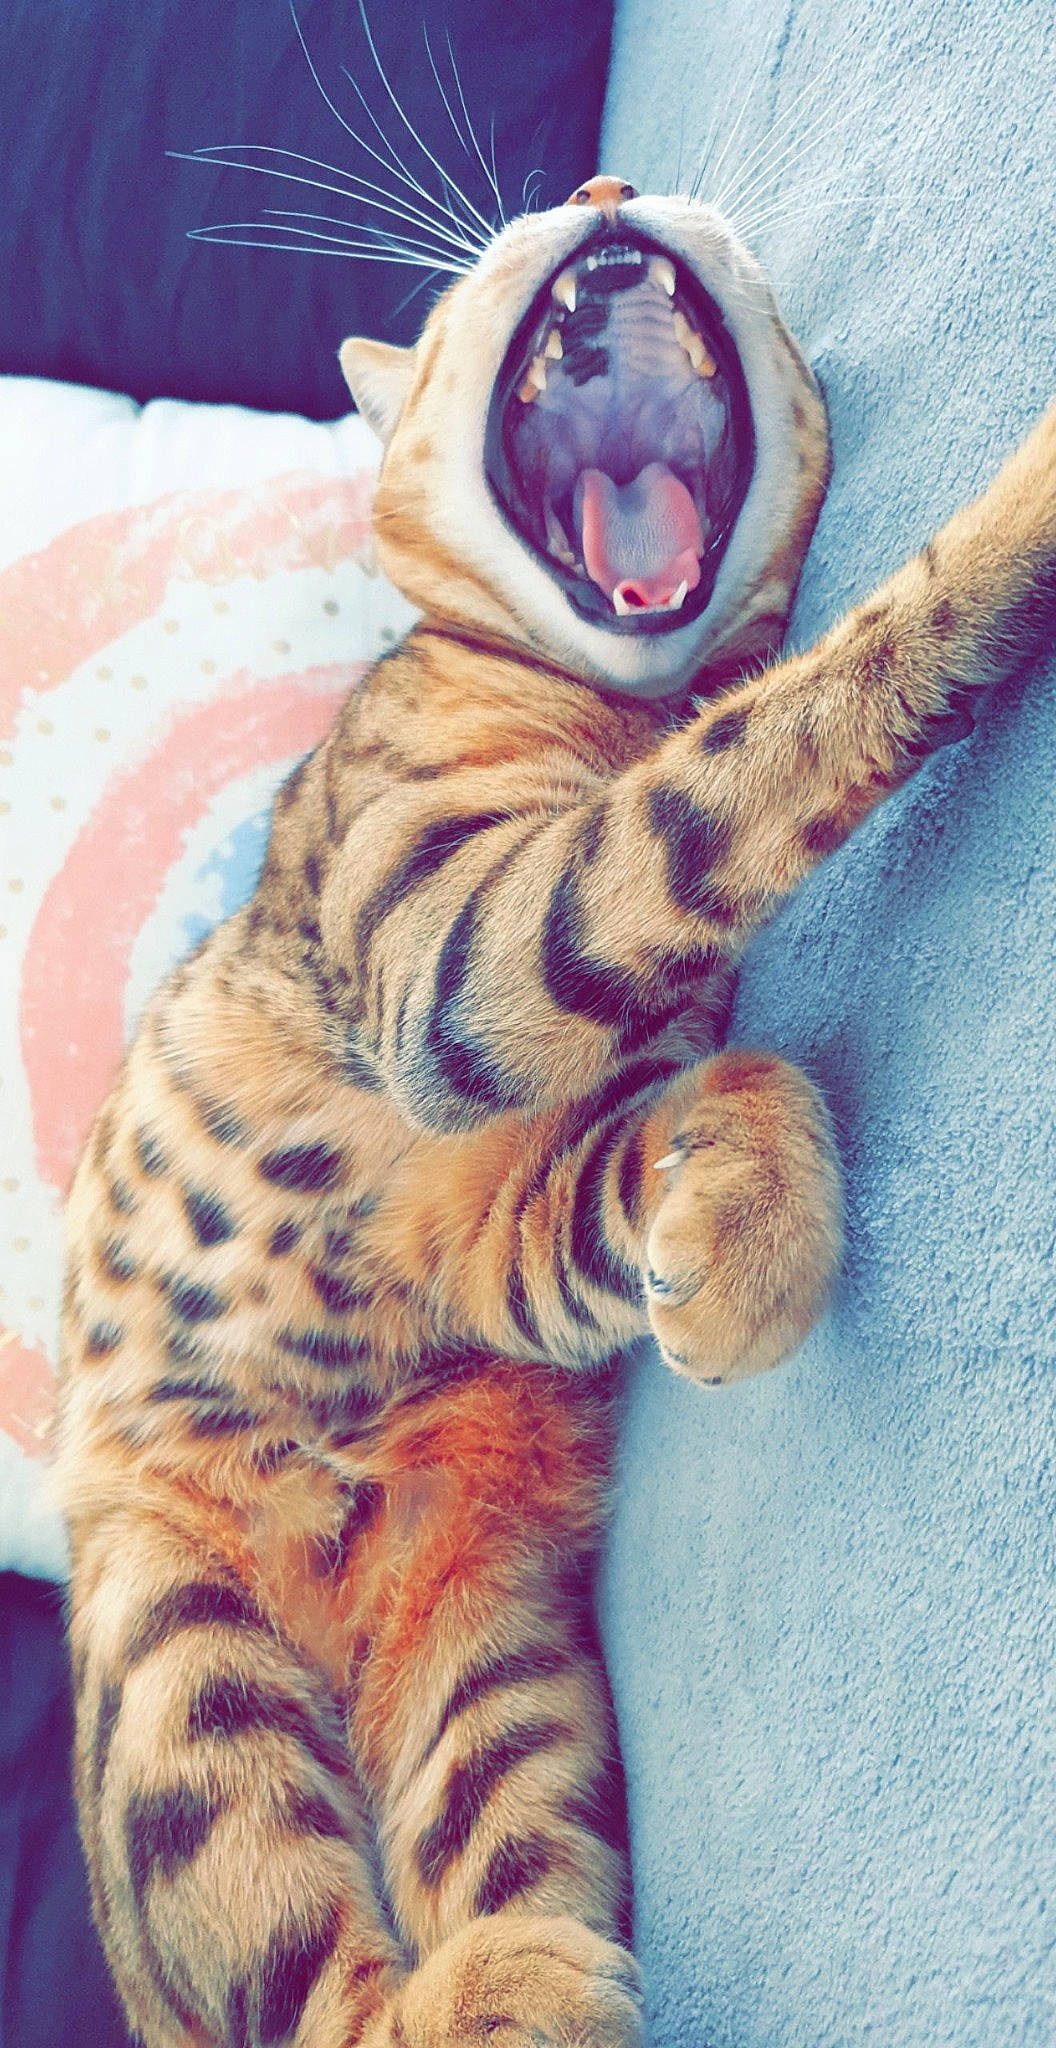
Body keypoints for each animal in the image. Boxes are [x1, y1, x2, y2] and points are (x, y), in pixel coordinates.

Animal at [53, 172, 1056, 2048]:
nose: (597, 186)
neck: (618, 698)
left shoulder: (493, 1202)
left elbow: (704, 1083)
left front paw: (737, 1239)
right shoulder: (451, 971)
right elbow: (733, 775)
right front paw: (1018, 518)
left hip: (500, 1674)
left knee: (487, 1846)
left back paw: (530, 1965)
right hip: (178, 1678)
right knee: (311, 1992)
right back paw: (495, 1986)